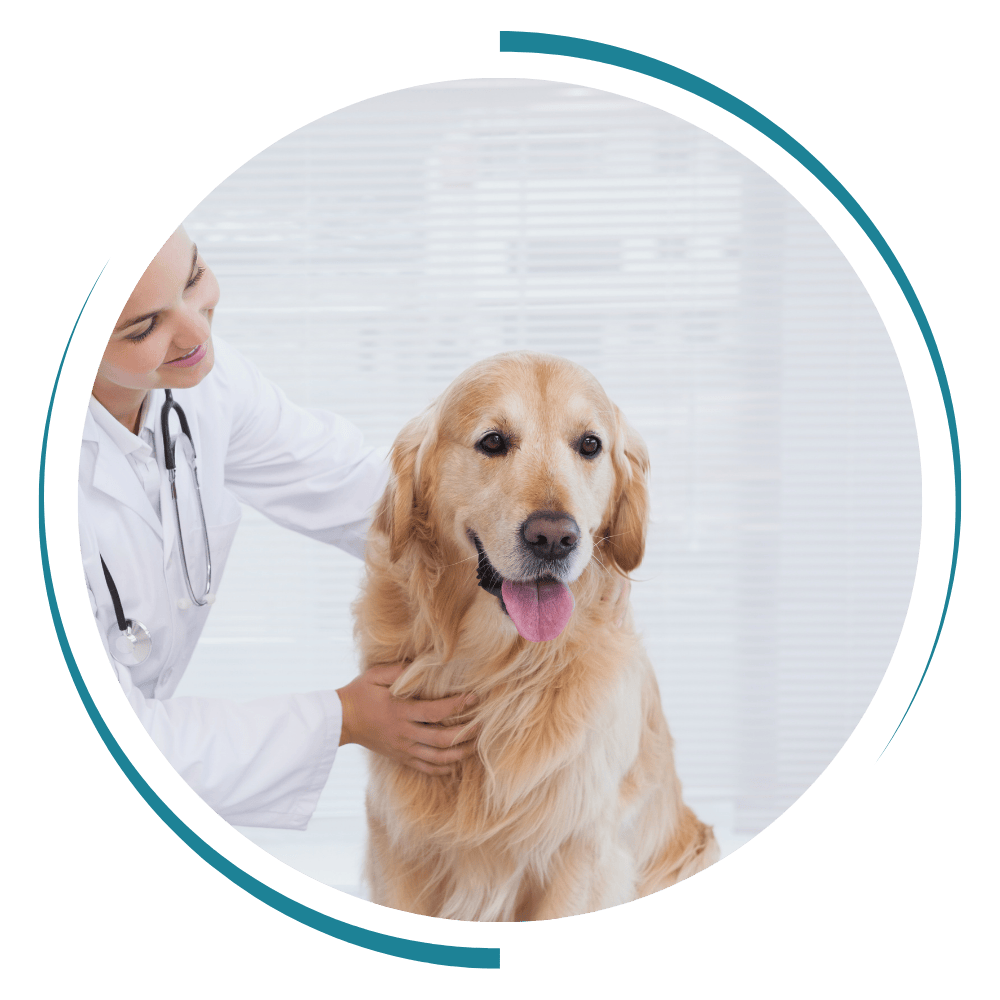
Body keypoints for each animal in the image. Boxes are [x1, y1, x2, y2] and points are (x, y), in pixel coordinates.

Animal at [354, 352, 720, 920]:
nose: (553, 538)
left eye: (590, 444)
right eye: (493, 441)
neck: (499, 671)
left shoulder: (578, 849)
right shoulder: (397, 839)